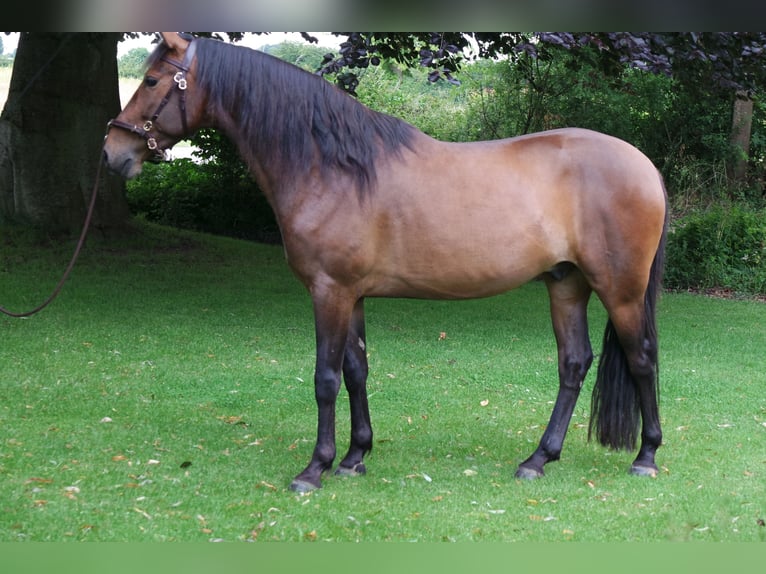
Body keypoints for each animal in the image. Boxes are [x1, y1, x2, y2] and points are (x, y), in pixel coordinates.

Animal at [105, 32, 668, 496]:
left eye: (152, 80)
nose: (113, 152)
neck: (332, 167)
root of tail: (643, 165)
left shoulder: (329, 291)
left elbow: (325, 378)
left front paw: (315, 468)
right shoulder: (351, 294)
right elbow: (356, 371)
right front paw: (355, 457)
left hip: (619, 289)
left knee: (641, 358)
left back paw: (645, 457)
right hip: (566, 284)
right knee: (573, 363)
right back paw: (538, 459)